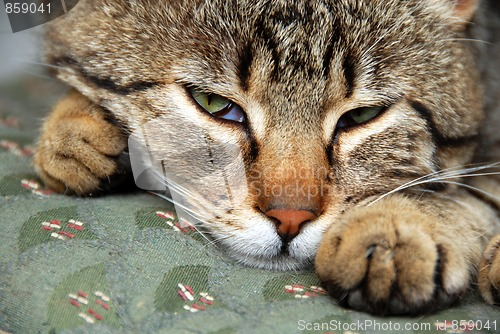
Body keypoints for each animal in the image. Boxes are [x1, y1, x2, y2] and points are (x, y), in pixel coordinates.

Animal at [34, 0, 500, 314]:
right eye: (213, 103)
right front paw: (75, 127)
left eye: (362, 116)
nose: (290, 218)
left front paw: (401, 226)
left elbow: (475, 188)